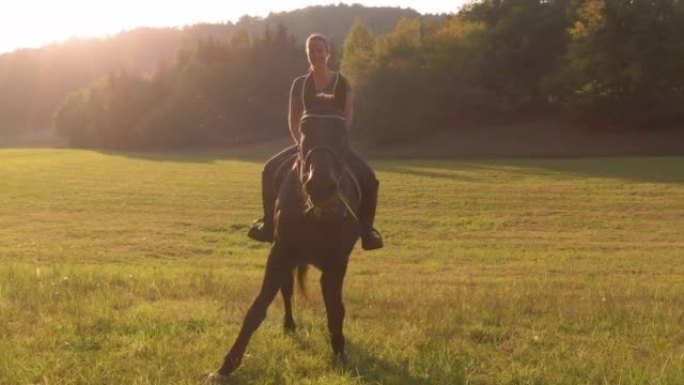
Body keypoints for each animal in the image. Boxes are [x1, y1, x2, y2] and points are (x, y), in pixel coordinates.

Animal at [204, 109, 360, 382]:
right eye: (305, 129)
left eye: (342, 132)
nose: (321, 186)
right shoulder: (280, 254)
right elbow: (257, 308)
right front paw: (226, 366)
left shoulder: (337, 263)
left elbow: (335, 308)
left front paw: (340, 353)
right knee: (286, 291)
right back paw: (289, 326)